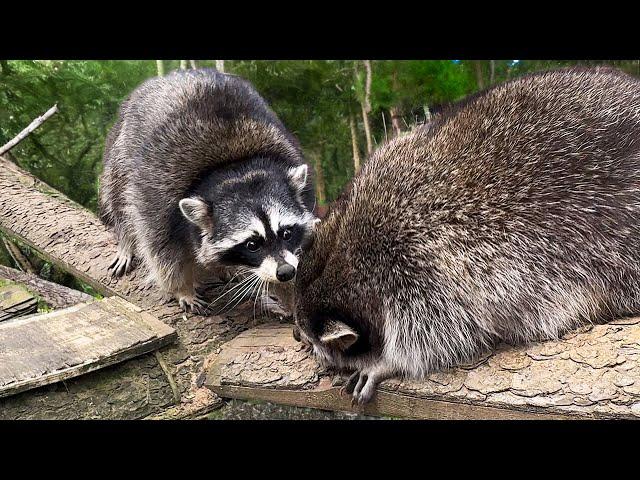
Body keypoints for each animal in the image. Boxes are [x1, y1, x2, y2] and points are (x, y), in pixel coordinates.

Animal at [100, 69, 318, 314]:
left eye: (287, 233)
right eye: (252, 245)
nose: (286, 272)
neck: (236, 167)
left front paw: (290, 296)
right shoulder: (157, 193)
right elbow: (161, 250)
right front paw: (182, 288)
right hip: (121, 152)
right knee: (119, 197)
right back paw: (126, 243)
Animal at [294, 66, 640, 404]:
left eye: (311, 339)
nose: (297, 335)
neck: (346, 254)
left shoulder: (427, 270)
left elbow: (445, 336)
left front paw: (387, 363)